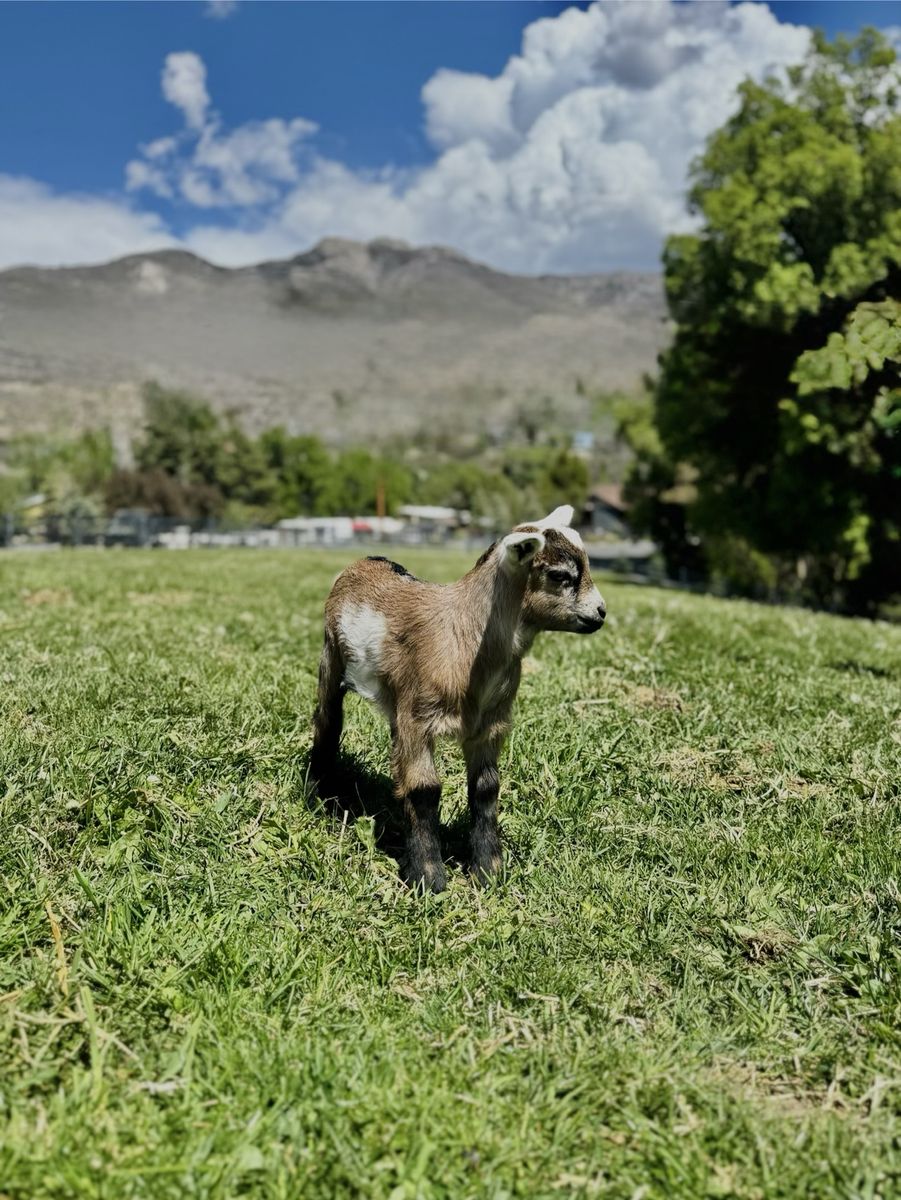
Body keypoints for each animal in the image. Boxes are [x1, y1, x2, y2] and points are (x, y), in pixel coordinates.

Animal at [309, 505, 606, 892]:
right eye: (560, 575)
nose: (601, 612)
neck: (466, 639)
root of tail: (367, 560)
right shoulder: (419, 720)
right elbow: (423, 789)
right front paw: (428, 880)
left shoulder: (489, 725)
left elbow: (486, 788)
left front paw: (489, 872)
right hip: (331, 655)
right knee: (328, 718)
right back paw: (318, 793)